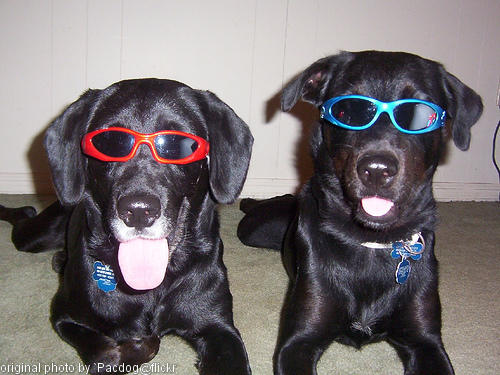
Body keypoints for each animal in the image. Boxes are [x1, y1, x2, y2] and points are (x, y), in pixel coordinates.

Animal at [0, 78, 254, 374]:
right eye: (109, 143)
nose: (138, 211)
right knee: (22, 222)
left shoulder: (219, 328)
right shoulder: (64, 315)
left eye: (178, 145)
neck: (152, 286)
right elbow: (107, 355)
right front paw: (140, 343)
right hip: (37, 235)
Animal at [236, 50, 482, 375]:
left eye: (419, 114)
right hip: (256, 228)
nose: (376, 169)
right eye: (346, 111)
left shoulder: (427, 342)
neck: (370, 242)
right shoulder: (299, 341)